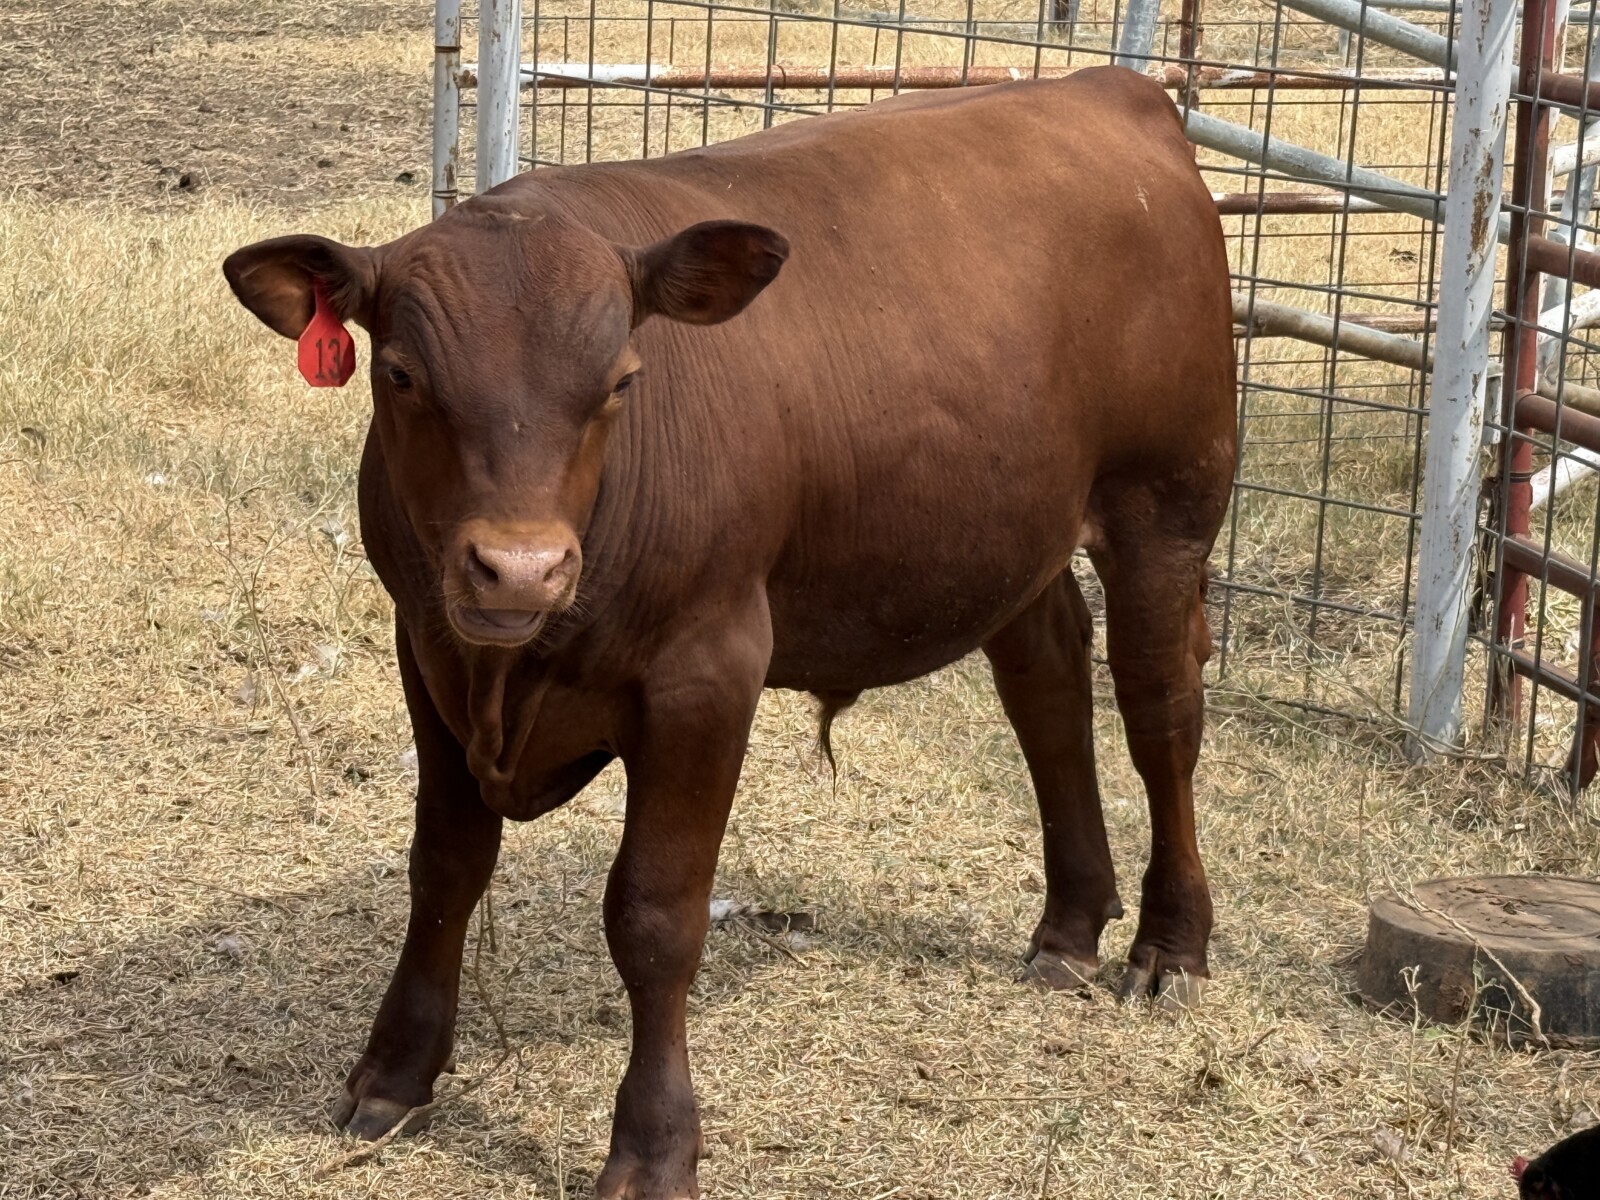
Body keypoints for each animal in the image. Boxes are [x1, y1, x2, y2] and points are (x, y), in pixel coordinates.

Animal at [223, 67, 1236, 1198]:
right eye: (399, 374)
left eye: (621, 381)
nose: (520, 568)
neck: (512, 678)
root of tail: (1109, 88)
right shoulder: (428, 647)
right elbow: (444, 865)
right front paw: (394, 1073)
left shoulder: (706, 675)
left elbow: (655, 915)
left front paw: (654, 1145)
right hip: (1016, 527)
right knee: (1048, 686)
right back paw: (1069, 927)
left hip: (1166, 503)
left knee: (1160, 715)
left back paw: (1170, 944)